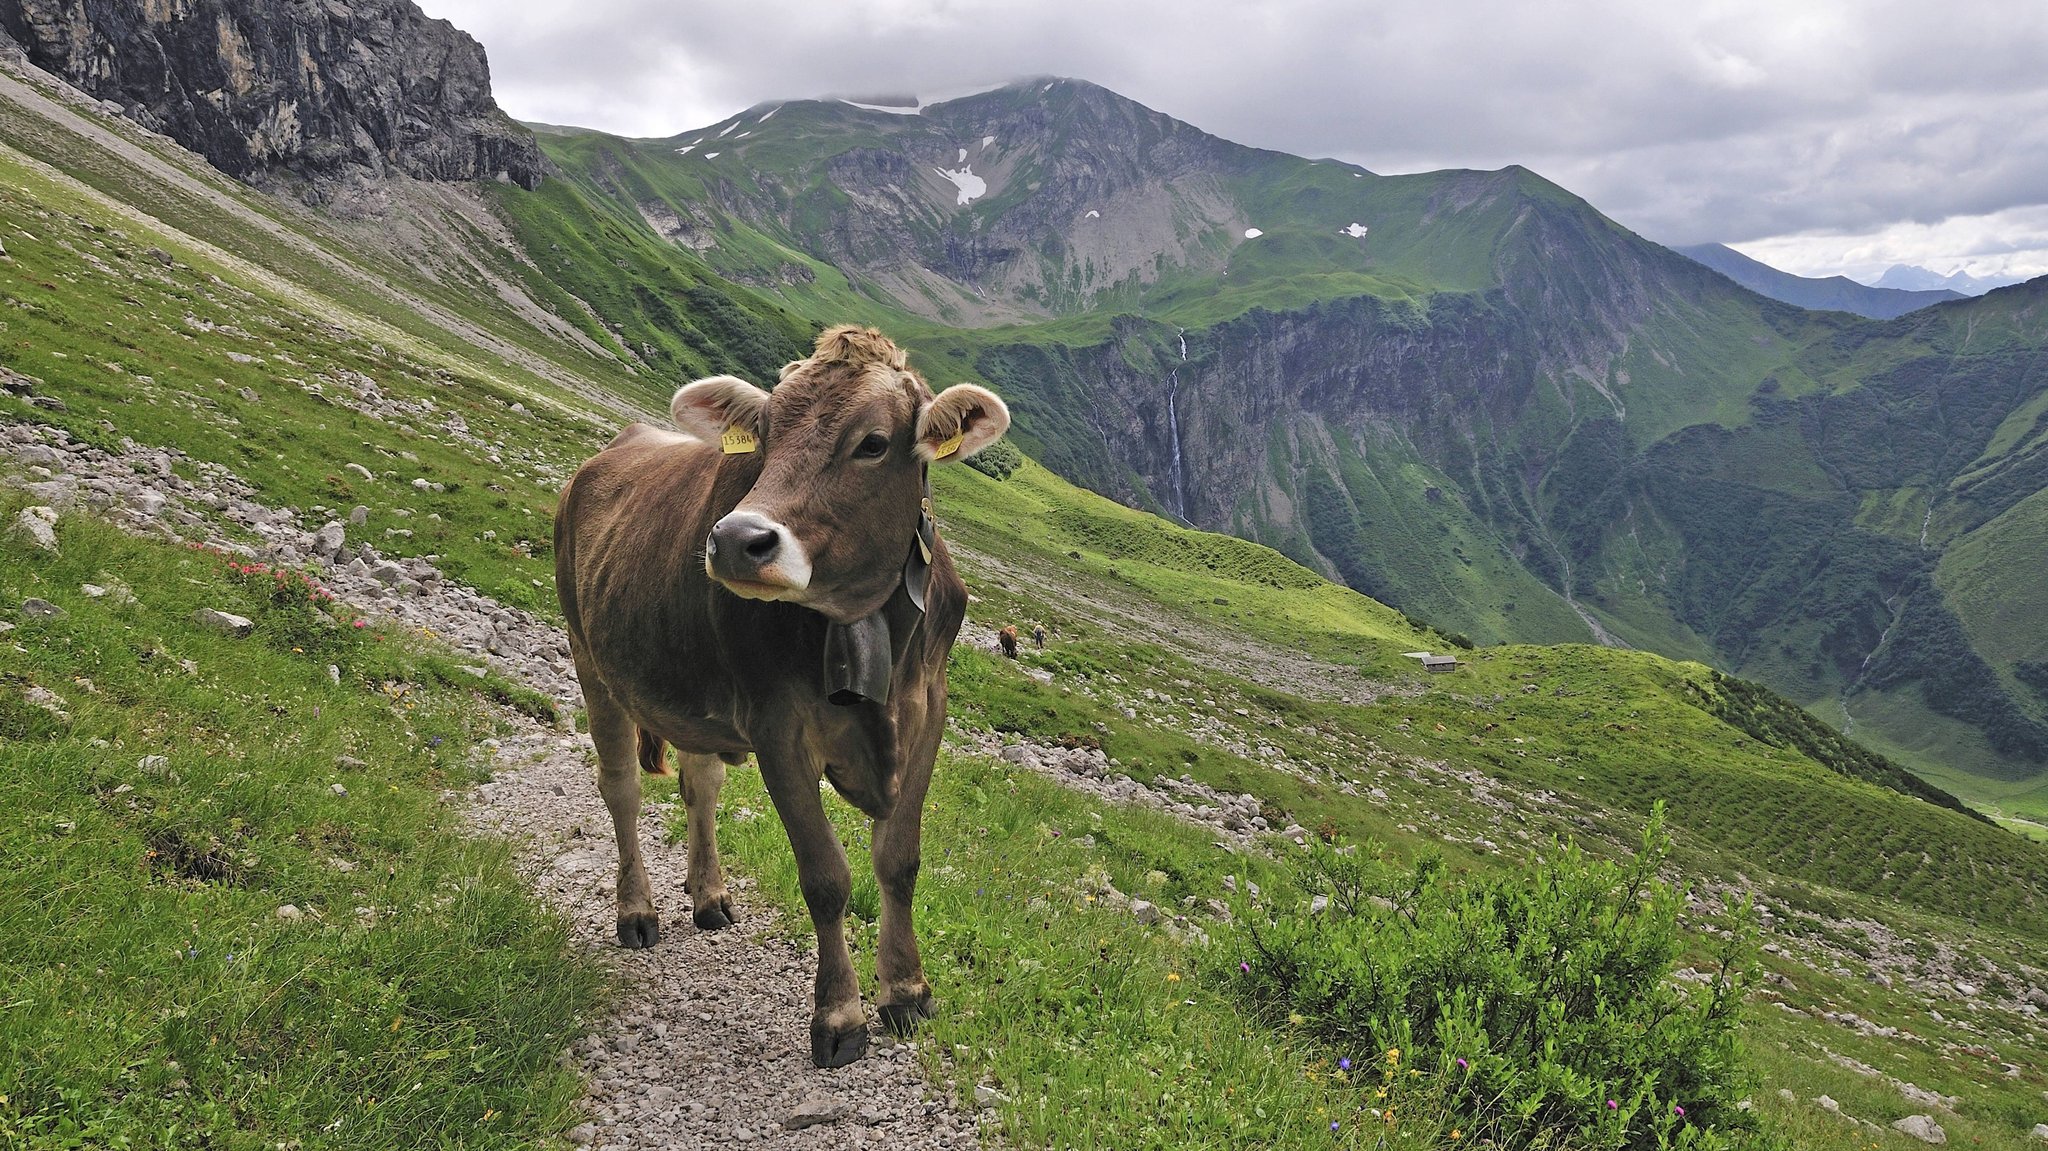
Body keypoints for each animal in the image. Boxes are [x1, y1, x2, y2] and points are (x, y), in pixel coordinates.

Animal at [557, 325, 1011, 1064]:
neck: (867, 620)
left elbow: (900, 860)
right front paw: (840, 1017)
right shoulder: (779, 729)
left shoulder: (930, 711)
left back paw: (708, 895)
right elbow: (826, 876)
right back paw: (636, 910)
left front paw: (907, 991)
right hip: (590, 657)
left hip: (692, 697)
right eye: (766, 433)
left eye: (873, 442)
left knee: (701, 783)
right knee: (620, 788)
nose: (736, 540)